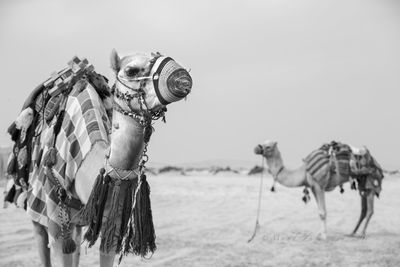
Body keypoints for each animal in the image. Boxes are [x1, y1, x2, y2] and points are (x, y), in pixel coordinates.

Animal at [7, 50, 192, 267]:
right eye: (131, 70)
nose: (182, 77)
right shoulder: (56, 216)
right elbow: (61, 248)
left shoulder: (109, 217)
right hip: (36, 200)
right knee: (41, 240)